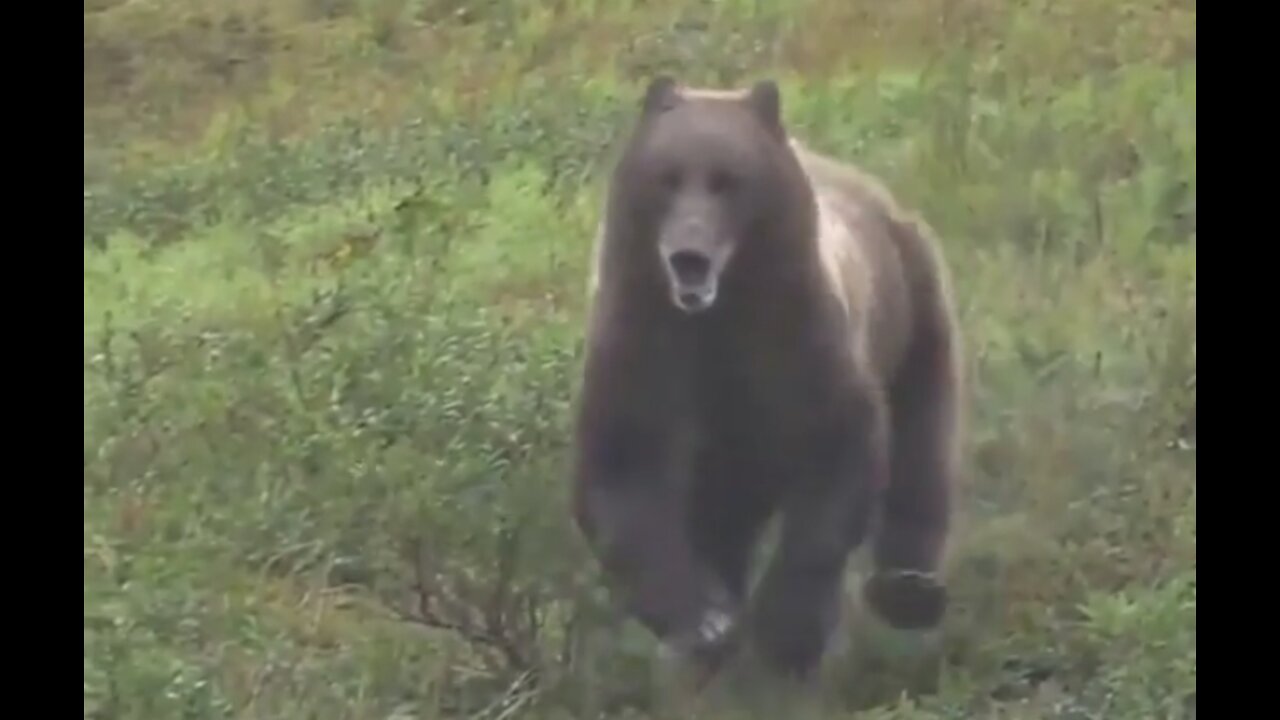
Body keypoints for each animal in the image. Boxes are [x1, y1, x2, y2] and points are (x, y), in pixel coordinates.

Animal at [570, 75, 962, 676]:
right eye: (668, 176)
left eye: (727, 180)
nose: (688, 254)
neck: (722, 311)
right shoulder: (645, 340)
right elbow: (623, 464)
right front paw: (704, 621)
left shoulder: (797, 340)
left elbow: (839, 452)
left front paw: (787, 630)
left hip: (914, 301)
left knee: (922, 441)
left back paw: (909, 589)